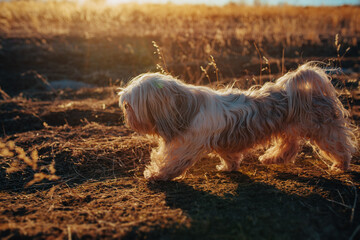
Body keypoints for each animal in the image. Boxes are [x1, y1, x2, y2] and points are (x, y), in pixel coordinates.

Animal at [119, 62, 358, 181]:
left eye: (131, 104)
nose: (124, 108)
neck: (185, 108)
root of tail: (309, 91)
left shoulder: (186, 145)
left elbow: (170, 161)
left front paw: (155, 174)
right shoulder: (222, 140)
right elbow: (229, 155)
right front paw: (229, 167)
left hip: (323, 131)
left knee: (339, 147)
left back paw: (340, 166)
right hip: (287, 128)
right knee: (289, 146)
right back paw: (271, 158)